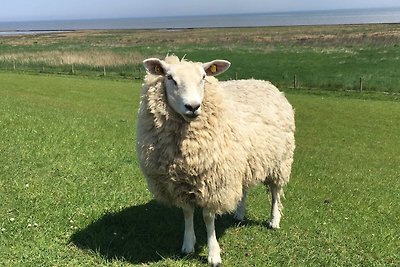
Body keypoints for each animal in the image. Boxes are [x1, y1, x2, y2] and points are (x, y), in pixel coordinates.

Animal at [136, 55, 296, 266]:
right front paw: (188, 245)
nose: (193, 107)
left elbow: (208, 217)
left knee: (276, 192)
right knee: (244, 188)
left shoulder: (213, 182)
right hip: (244, 162)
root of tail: (264, 82)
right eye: (169, 77)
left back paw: (274, 220)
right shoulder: (180, 182)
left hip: (280, 161)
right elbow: (187, 212)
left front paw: (214, 254)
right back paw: (239, 214)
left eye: (203, 77)